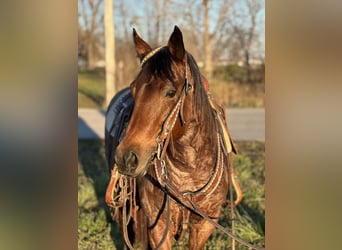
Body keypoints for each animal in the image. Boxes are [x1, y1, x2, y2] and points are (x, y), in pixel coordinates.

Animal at [105, 26, 242, 249]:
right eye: (134, 89)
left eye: (170, 92)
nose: (126, 158)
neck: (189, 171)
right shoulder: (158, 225)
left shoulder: (204, 225)